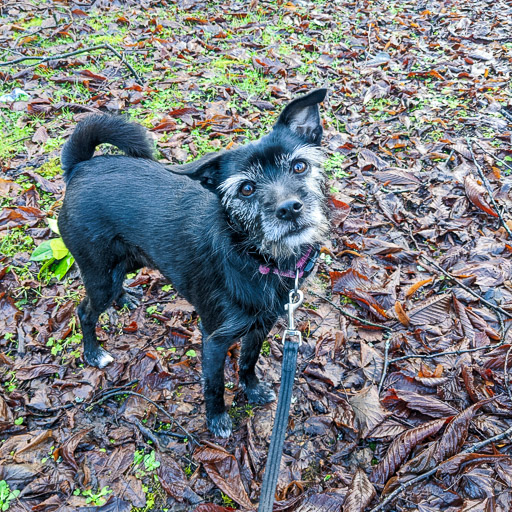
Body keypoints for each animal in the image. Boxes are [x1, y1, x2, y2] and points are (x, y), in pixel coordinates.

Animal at [57, 88, 328, 436]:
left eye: (299, 166)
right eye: (246, 188)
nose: (289, 208)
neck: (256, 256)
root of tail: (80, 168)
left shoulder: (262, 325)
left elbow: (248, 360)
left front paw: (252, 389)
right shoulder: (214, 339)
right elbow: (214, 383)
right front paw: (217, 419)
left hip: (127, 261)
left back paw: (125, 298)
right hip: (99, 274)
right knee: (85, 311)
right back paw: (94, 353)